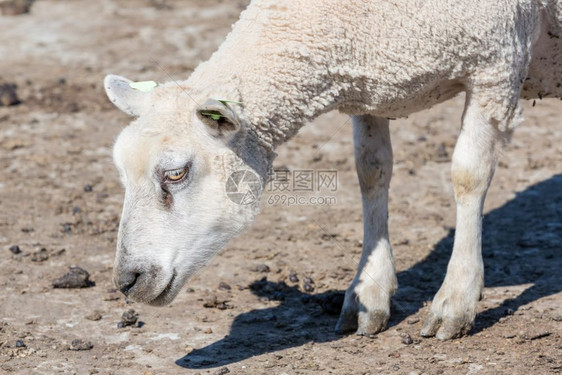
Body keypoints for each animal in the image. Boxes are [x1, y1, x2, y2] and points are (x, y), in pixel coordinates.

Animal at [103, 0, 556, 340]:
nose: (127, 281)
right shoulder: (371, 89)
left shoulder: (496, 65)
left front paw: (456, 300)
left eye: (176, 173)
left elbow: (468, 176)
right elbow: (371, 171)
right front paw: (368, 292)